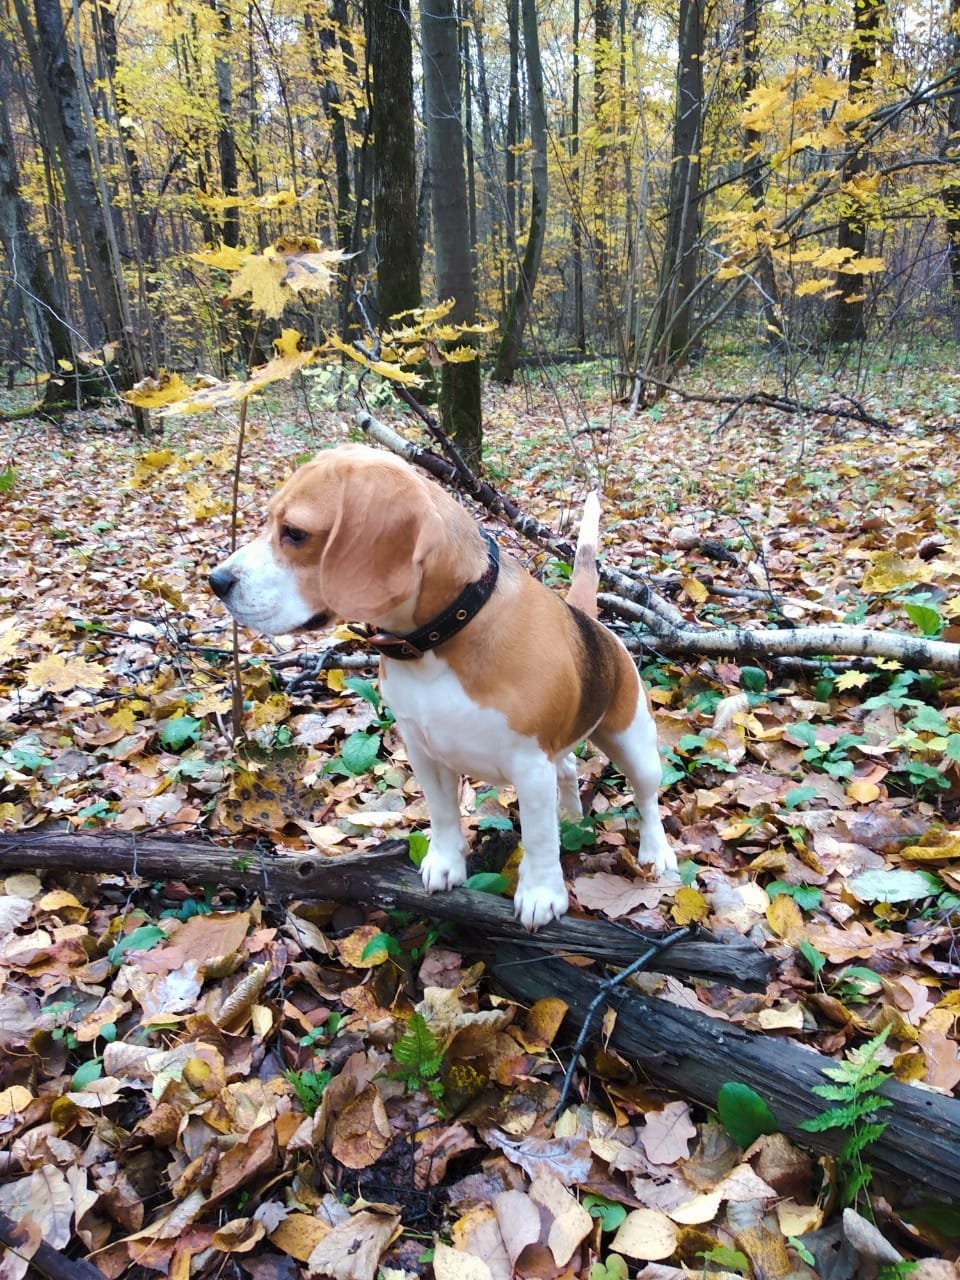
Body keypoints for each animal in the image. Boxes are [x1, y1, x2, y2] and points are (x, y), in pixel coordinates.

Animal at [209, 445, 675, 926]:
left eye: (296, 533)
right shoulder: (423, 748)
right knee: (566, 771)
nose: (217, 581)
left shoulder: (529, 764)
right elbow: (444, 812)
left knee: (647, 799)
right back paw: (569, 816)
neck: (438, 641)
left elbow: (538, 837)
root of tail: (594, 624)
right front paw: (446, 863)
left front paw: (542, 893)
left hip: (633, 743)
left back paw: (655, 852)